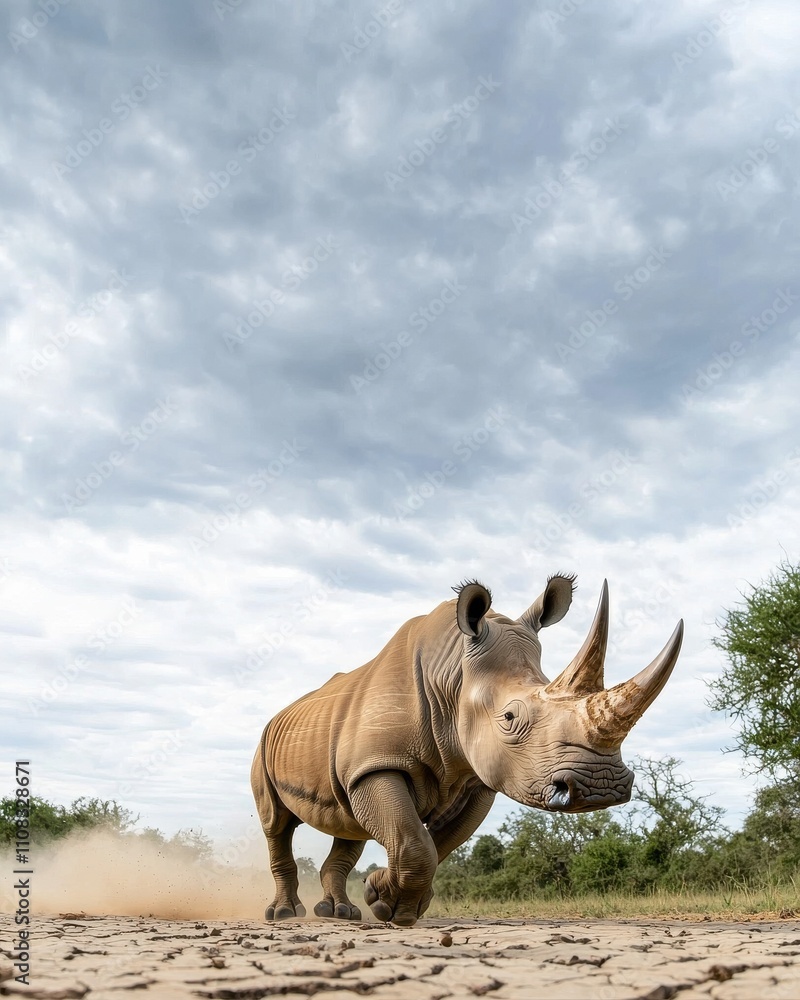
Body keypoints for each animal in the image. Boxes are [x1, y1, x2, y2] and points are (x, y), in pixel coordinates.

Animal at [251, 575, 683, 926]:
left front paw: (389, 901)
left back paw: (339, 914)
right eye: (509, 717)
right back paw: (285, 915)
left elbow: (437, 843)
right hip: (264, 744)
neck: (453, 674)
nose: (601, 786)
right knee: (276, 823)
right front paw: (393, 908)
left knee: (349, 826)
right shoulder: (378, 764)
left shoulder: (476, 778)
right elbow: (412, 838)